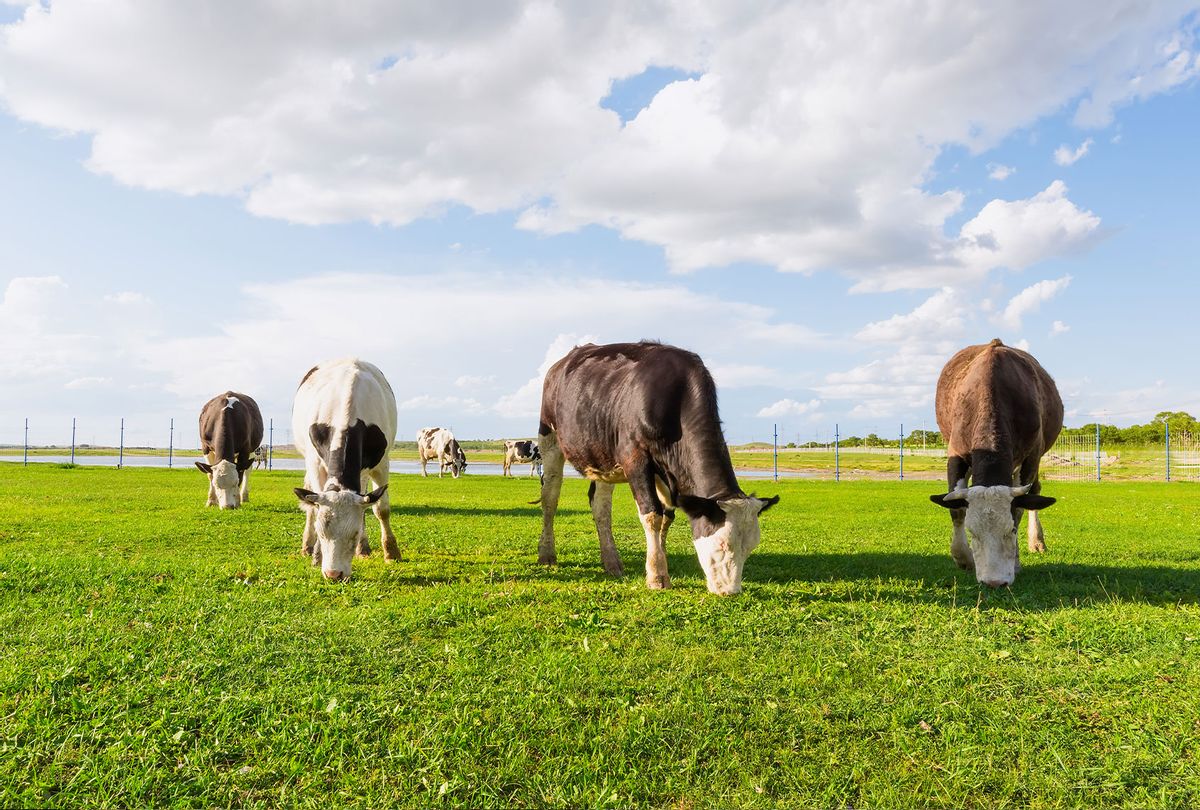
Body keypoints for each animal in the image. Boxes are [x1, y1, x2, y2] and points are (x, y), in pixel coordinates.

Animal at [292, 357, 400, 580]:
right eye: (321, 532)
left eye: (355, 533)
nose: (334, 574)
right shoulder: (315, 463)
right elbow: (316, 507)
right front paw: (316, 555)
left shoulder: (381, 463)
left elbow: (381, 509)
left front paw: (391, 552)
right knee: (310, 505)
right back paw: (307, 545)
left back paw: (364, 549)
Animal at [535, 340, 777, 595]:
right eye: (722, 544)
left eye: (751, 547)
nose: (731, 591)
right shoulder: (635, 458)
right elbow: (652, 514)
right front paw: (657, 575)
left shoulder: (666, 473)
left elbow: (666, 517)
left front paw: (659, 563)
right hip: (549, 439)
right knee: (550, 498)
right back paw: (547, 553)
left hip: (603, 456)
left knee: (601, 507)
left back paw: (611, 561)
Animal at [926, 338, 1060, 585]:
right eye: (972, 532)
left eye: (1011, 531)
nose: (994, 582)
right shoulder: (955, 452)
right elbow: (956, 509)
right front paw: (963, 557)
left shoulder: (1032, 455)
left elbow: (1020, 508)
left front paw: (1015, 562)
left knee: (1035, 492)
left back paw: (1036, 541)